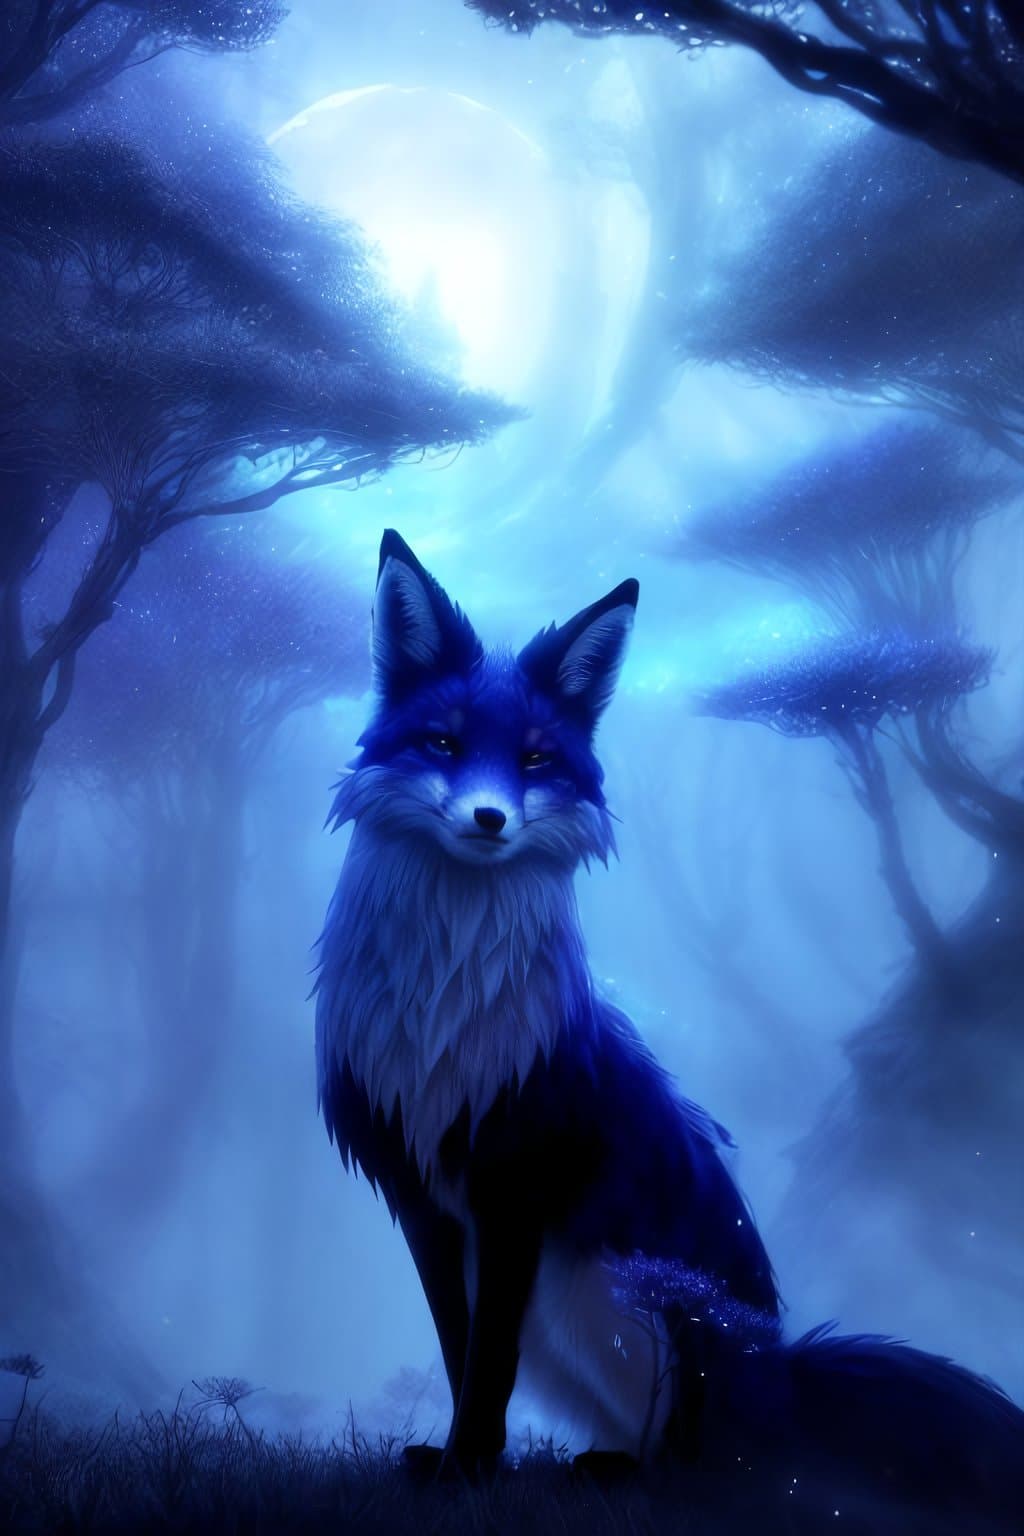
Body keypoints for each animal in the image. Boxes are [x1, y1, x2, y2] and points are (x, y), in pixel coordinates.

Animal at [314, 530, 1023, 1515]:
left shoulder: (513, 1191)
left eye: (535, 760)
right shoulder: (424, 1201)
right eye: (443, 743)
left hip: (604, 1288)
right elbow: (461, 1357)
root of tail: (783, 1376)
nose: (489, 819)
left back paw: (620, 1472)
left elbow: (486, 1364)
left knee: (699, 1461)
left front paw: (471, 1472)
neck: (441, 1018)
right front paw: (460, 1465)